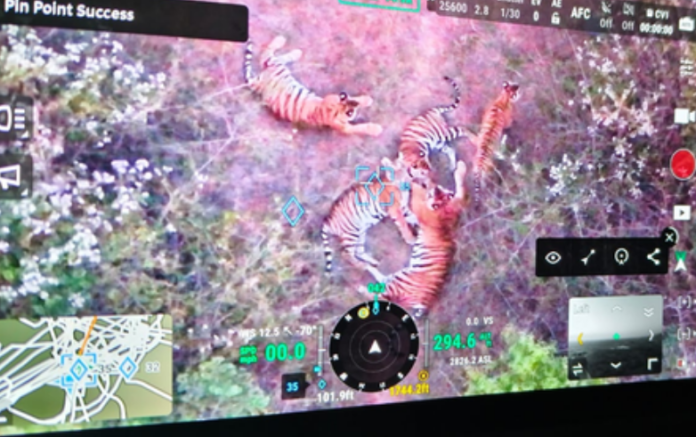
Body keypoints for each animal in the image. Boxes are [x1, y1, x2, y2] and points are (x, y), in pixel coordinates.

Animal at [244, 36, 383, 136]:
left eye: (352, 105)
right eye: (350, 112)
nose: (355, 108)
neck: (335, 111)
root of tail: (258, 83)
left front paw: (366, 100)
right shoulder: (344, 127)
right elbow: (359, 128)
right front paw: (376, 129)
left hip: (280, 68)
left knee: (272, 57)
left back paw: (296, 52)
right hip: (278, 67)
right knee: (266, 55)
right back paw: (284, 41)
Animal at [361, 157, 468, 317]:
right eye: (441, 196)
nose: (436, 190)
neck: (443, 212)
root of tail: (425, 303)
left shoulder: (421, 207)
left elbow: (418, 190)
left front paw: (412, 178)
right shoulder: (455, 203)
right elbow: (460, 189)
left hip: (400, 281)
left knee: (380, 295)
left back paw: (362, 284)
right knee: (382, 280)